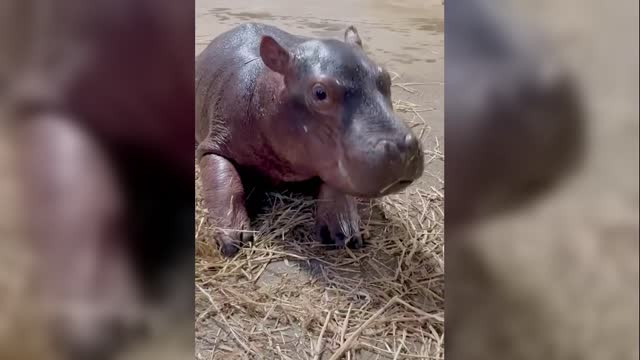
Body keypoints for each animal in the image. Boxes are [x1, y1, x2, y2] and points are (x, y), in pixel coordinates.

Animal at [195, 23, 424, 256]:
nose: (402, 147)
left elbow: (336, 184)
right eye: (320, 93)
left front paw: (344, 234)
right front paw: (234, 240)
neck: (268, 90)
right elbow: (225, 181)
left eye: (386, 78)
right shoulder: (215, 142)